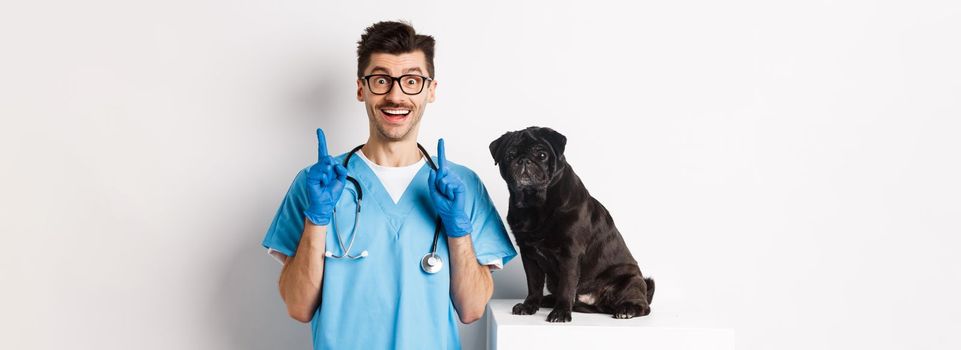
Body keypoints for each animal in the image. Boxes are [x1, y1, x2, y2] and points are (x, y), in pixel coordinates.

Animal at [488, 126, 652, 322]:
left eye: (541, 155)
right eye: (510, 155)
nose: (524, 161)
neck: (535, 203)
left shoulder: (570, 254)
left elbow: (566, 286)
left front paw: (561, 312)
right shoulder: (529, 255)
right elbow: (534, 284)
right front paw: (529, 306)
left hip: (630, 281)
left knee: (643, 306)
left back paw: (627, 310)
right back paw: (548, 300)